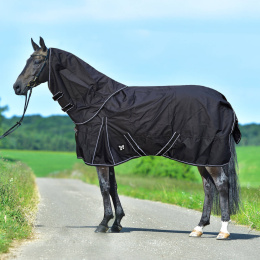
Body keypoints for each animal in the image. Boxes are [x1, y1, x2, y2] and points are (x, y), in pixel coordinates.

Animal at [12, 37, 240, 241]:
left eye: (37, 61)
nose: (17, 87)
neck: (95, 101)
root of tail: (223, 100)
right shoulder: (108, 155)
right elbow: (113, 187)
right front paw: (117, 223)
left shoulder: (100, 157)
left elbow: (104, 187)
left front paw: (104, 224)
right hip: (202, 156)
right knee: (208, 187)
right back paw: (198, 228)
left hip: (210, 155)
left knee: (221, 185)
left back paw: (223, 231)